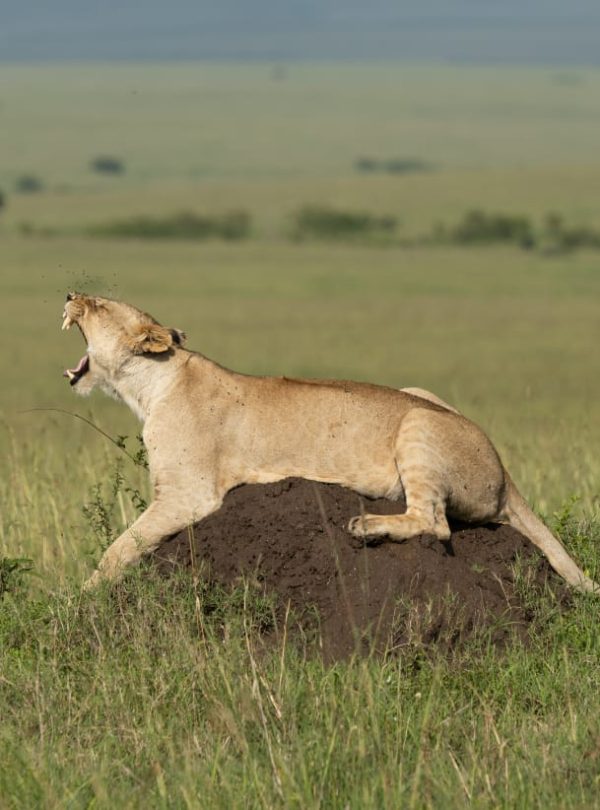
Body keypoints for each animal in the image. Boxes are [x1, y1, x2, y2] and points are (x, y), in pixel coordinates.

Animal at [60, 292, 597, 593]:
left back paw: (367, 525)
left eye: (100, 304)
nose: (68, 293)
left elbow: (120, 546)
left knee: (436, 523)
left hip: (418, 422)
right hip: (420, 394)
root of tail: (504, 472)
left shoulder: (190, 495)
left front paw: (82, 595)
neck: (151, 384)